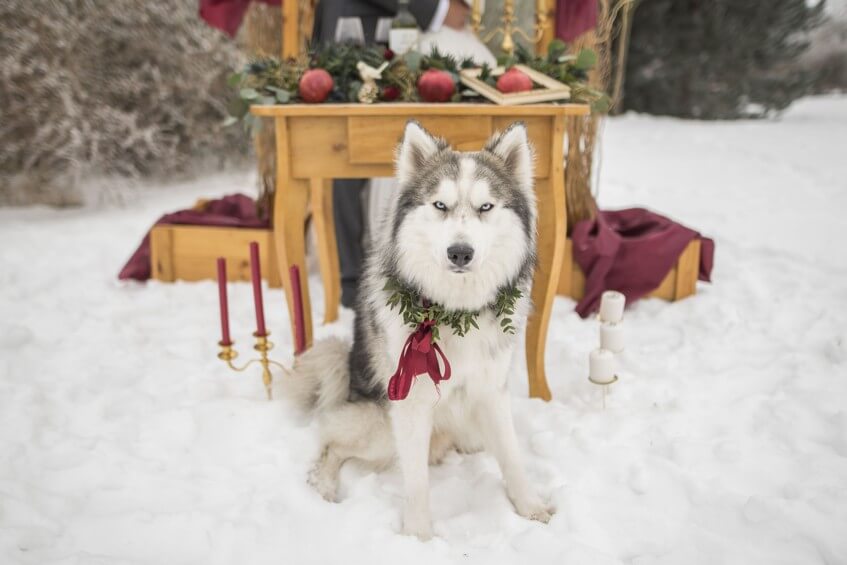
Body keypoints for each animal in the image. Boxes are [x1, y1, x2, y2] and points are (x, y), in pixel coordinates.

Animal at [286, 120, 548, 536]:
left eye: (485, 207)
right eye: (440, 205)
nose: (460, 252)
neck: (456, 312)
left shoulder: (491, 390)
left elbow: (511, 454)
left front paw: (530, 507)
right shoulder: (410, 402)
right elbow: (417, 481)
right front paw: (419, 536)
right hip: (379, 427)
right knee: (332, 444)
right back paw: (324, 485)